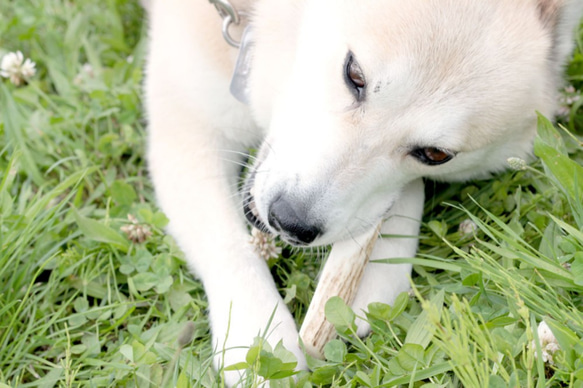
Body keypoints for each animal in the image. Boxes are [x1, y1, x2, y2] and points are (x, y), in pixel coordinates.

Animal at [144, 0, 580, 382]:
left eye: (435, 154)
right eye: (354, 75)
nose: (290, 221)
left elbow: (404, 194)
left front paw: (378, 265)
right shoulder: (186, 124)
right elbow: (227, 244)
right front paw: (257, 336)